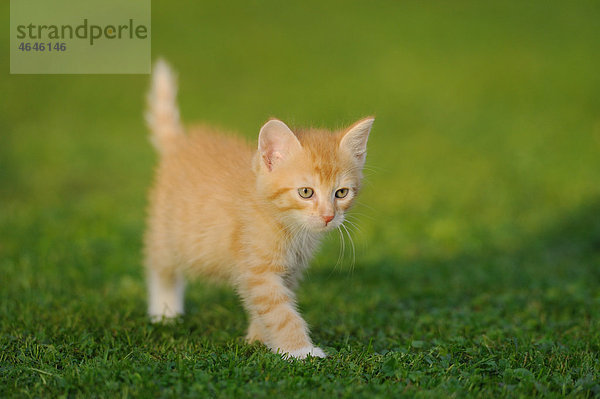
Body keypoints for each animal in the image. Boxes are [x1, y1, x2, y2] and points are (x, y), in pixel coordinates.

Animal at [143, 60, 372, 362]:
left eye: (341, 193)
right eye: (306, 192)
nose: (328, 216)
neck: (286, 224)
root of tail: (180, 144)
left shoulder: (287, 271)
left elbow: (265, 306)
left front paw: (260, 339)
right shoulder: (258, 268)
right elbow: (280, 311)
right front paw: (301, 350)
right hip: (169, 232)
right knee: (161, 268)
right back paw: (164, 312)